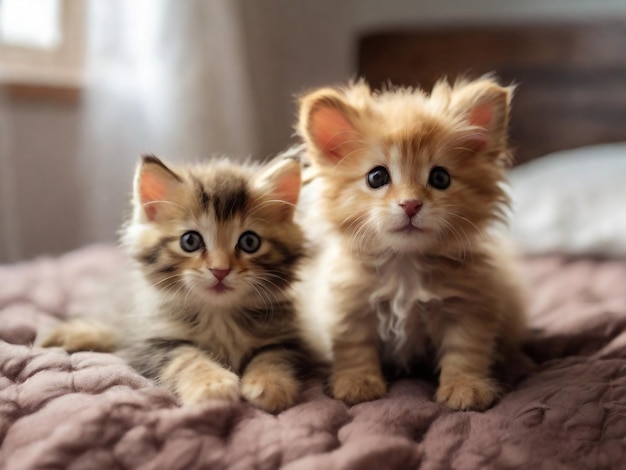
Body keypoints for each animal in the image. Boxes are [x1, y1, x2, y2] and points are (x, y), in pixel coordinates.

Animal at [42, 153, 316, 412]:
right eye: (190, 241)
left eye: (250, 242)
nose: (220, 270)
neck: (219, 316)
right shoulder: (152, 342)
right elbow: (186, 357)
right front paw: (211, 384)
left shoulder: (290, 338)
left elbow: (274, 356)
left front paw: (270, 384)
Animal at [296, 77, 528, 412]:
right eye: (377, 177)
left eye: (440, 178)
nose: (410, 204)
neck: (404, 265)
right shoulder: (348, 306)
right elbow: (354, 347)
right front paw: (357, 383)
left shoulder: (469, 305)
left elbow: (465, 351)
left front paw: (465, 387)